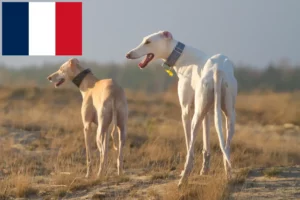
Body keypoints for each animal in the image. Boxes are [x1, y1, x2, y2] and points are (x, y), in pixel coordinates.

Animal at [126, 30, 237, 186]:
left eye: (148, 42)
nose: (128, 54)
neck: (183, 57)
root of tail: (217, 70)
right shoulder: (207, 111)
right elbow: (206, 143)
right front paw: (205, 170)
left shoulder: (185, 110)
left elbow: (189, 142)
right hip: (228, 115)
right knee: (226, 147)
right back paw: (229, 175)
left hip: (197, 116)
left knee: (191, 148)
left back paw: (184, 177)